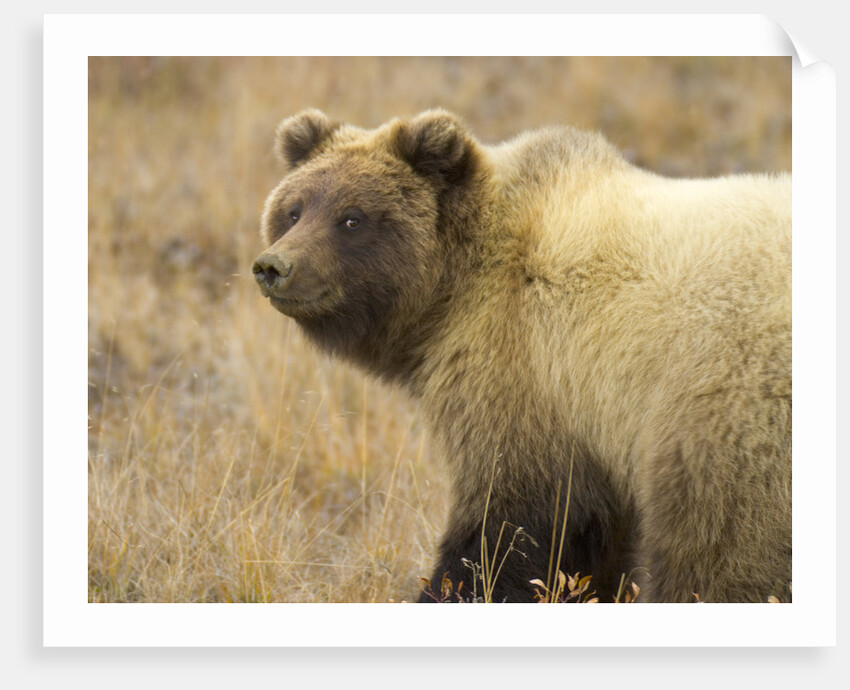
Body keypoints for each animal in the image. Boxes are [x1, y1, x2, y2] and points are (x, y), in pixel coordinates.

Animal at [252, 108, 792, 603]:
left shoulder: (525, 375)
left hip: (721, 414)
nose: (274, 266)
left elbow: (510, 524)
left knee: (718, 551)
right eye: (294, 209)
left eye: (352, 218)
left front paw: (451, 587)